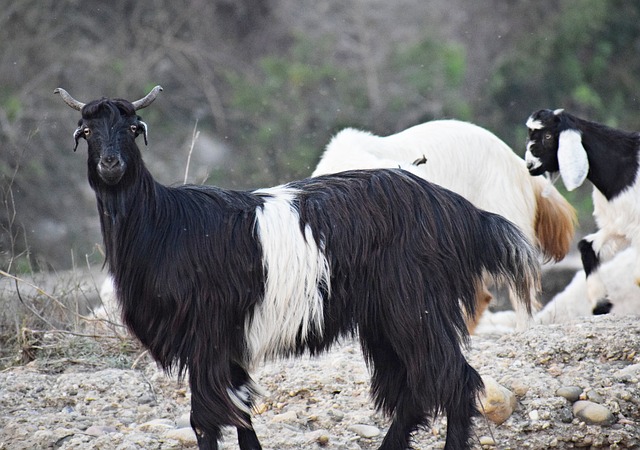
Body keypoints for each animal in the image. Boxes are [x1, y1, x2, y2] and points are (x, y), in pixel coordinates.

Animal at [57, 86, 544, 448]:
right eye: (88, 130)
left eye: (132, 129)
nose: (111, 164)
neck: (165, 224)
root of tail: (460, 212)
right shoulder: (228, 342)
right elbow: (240, 410)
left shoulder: (206, 333)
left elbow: (206, 418)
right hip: (385, 319)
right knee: (414, 391)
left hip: (416, 307)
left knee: (453, 381)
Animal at [524, 109, 640, 314]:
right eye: (530, 135)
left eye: (548, 136)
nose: (530, 165)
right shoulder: (619, 223)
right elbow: (586, 245)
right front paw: (600, 303)